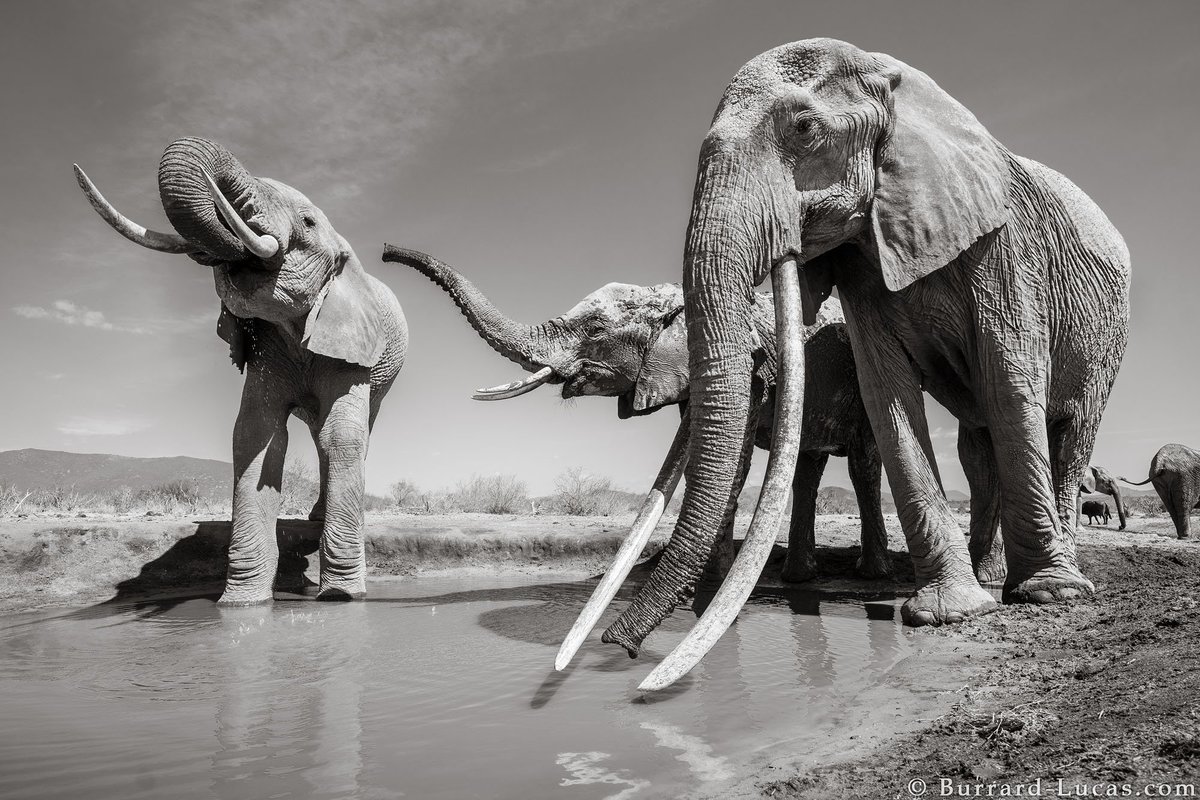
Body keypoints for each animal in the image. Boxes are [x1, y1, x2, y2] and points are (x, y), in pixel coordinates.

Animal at [75, 137, 408, 604]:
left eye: (307, 222)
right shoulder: (266, 348)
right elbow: (257, 433)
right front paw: (242, 603)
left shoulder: (350, 345)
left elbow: (341, 435)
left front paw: (341, 598)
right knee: (315, 432)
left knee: (348, 433)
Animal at [381, 247, 892, 593]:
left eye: (595, 330)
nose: (385, 251)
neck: (678, 299)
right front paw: (703, 583)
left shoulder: (751, 369)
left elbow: (729, 461)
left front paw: (705, 586)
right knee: (808, 466)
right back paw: (799, 579)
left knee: (863, 463)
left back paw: (872, 573)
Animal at [587, 38, 1130, 692]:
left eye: (804, 129)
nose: (617, 651)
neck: (894, 79)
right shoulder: (863, 264)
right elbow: (885, 390)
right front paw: (950, 612)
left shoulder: (1005, 248)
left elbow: (1010, 379)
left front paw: (1044, 598)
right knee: (977, 446)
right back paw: (987, 575)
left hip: (1107, 336)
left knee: (1069, 429)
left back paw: (1053, 581)